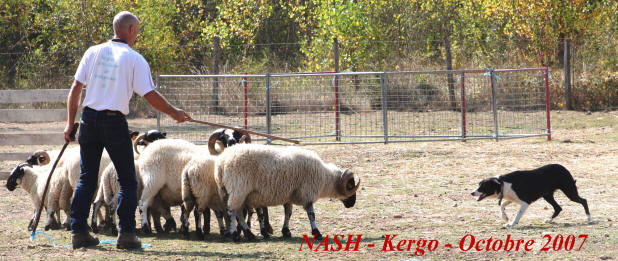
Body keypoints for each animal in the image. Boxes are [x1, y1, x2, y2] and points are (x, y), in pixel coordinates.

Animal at [215, 143, 360, 241]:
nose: (352, 203)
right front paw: (317, 232)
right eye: (350, 185)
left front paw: (286, 231)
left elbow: (288, 213)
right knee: (232, 211)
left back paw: (249, 234)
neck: (325, 178)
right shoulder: (307, 194)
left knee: (238, 213)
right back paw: (235, 235)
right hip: (238, 189)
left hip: (237, 193)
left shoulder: (289, 195)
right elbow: (311, 215)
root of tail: (221, 163)